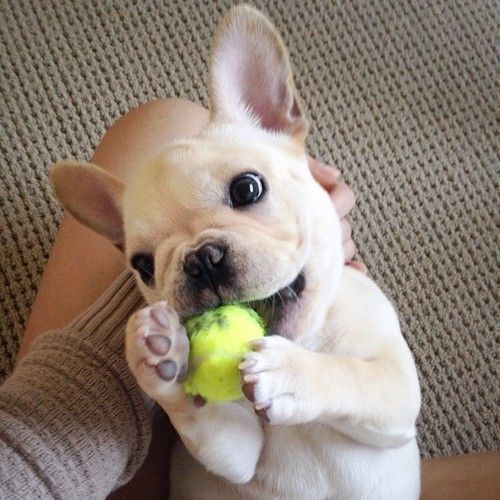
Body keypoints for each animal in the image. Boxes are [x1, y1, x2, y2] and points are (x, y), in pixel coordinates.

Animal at [51, 4, 422, 500]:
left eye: (247, 188)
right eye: (142, 265)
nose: (200, 258)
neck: (306, 339)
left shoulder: (396, 392)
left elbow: (351, 375)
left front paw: (292, 376)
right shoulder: (237, 456)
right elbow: (211, 426)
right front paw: (162, 357)